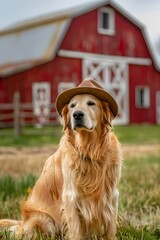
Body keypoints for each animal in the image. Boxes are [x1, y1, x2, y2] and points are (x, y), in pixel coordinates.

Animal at [0, 78, 122, 238]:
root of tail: (22, 223)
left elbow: (110, 229)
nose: (77, 115)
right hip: (44, 221)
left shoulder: (112, 195)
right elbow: (76, 232)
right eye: (72, 106)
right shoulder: (70, 197)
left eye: (91, 103)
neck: (89, 149)